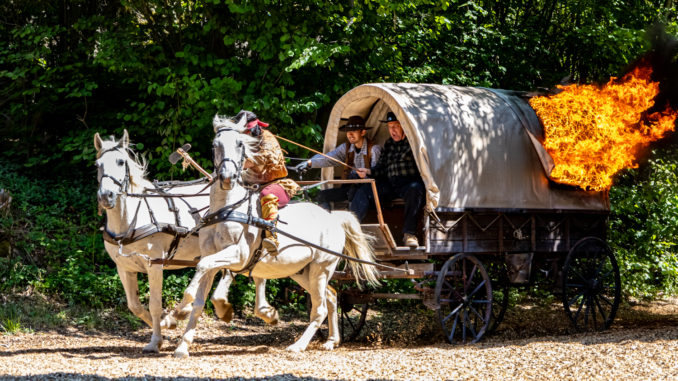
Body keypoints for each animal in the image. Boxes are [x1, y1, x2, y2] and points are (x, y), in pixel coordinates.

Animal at [93, 130, 236, 350]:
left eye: (120, 162)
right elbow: (134, 305)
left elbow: (154, 304)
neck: (131, 220)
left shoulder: (155, 264)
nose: (105, 196)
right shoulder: (124, 267)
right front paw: (166, 325)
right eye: (97, 164)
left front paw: (156, 339)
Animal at [173, 113, 380, 356]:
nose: (227, 177)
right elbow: (199, 299)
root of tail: (333, 218)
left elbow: (202, 267)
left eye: (240, 144)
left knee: (319, 308)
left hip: (322, 267)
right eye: (215, 145)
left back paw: (298, 345)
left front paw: (180, 312)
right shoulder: (214, 256)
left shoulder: (238, 255)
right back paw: (331, 340)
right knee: (331, 297)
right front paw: (183, 344)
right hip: (302, 271)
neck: (228, 208)